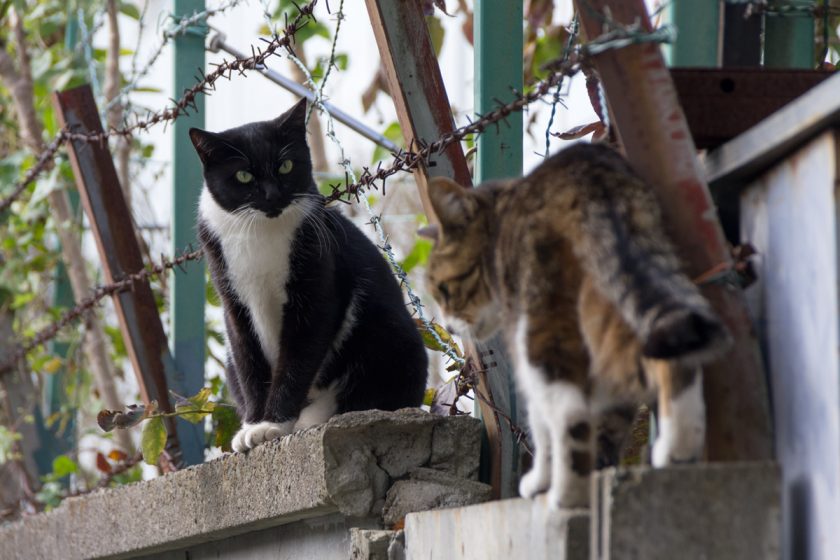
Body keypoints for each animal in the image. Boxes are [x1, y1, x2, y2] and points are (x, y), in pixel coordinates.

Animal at [190, 98, 426, 452]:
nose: (272, 196)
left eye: (286, 166)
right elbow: (249, 364)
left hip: (394, 339)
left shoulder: (315, 287)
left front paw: (271, 425)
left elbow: (298, 358)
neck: (261, 234)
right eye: (243, 175)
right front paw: (254, 425)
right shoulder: (233, 300)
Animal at [424, 143, 732, 508]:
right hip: (616, 301)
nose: (451, 327)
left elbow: (542, 423)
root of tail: (588, 176)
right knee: (661, 363)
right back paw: (676, 453)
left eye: (444, 290)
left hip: (543, 322)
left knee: (568, 412)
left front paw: (541, 481)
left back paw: (566, 495)